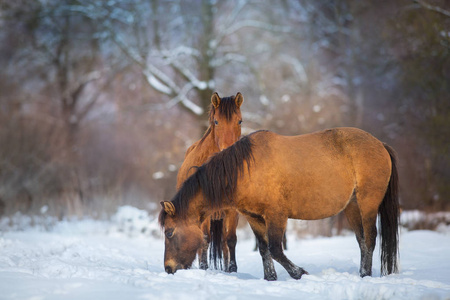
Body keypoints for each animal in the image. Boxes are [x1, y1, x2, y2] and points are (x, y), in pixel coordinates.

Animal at [160, 127, 400, 280]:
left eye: (169, 232)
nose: (168, 268)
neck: (246, 170)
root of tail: (380, 144)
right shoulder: (254, 218)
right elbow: (264, 249)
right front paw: (270, 278)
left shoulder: (276, 216)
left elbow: (275, 249)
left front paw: (298, 273)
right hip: (352, 206)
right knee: (361, 240)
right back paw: (361, 272)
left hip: (368, 202)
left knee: (370, 238)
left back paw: (366, 275)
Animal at [177, 91, 244, 272]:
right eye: (216, 121)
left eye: (240, 121)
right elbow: (205, 238)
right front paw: (203, 267)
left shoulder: (232, 210)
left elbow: (231, 240)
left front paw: (232, 269)